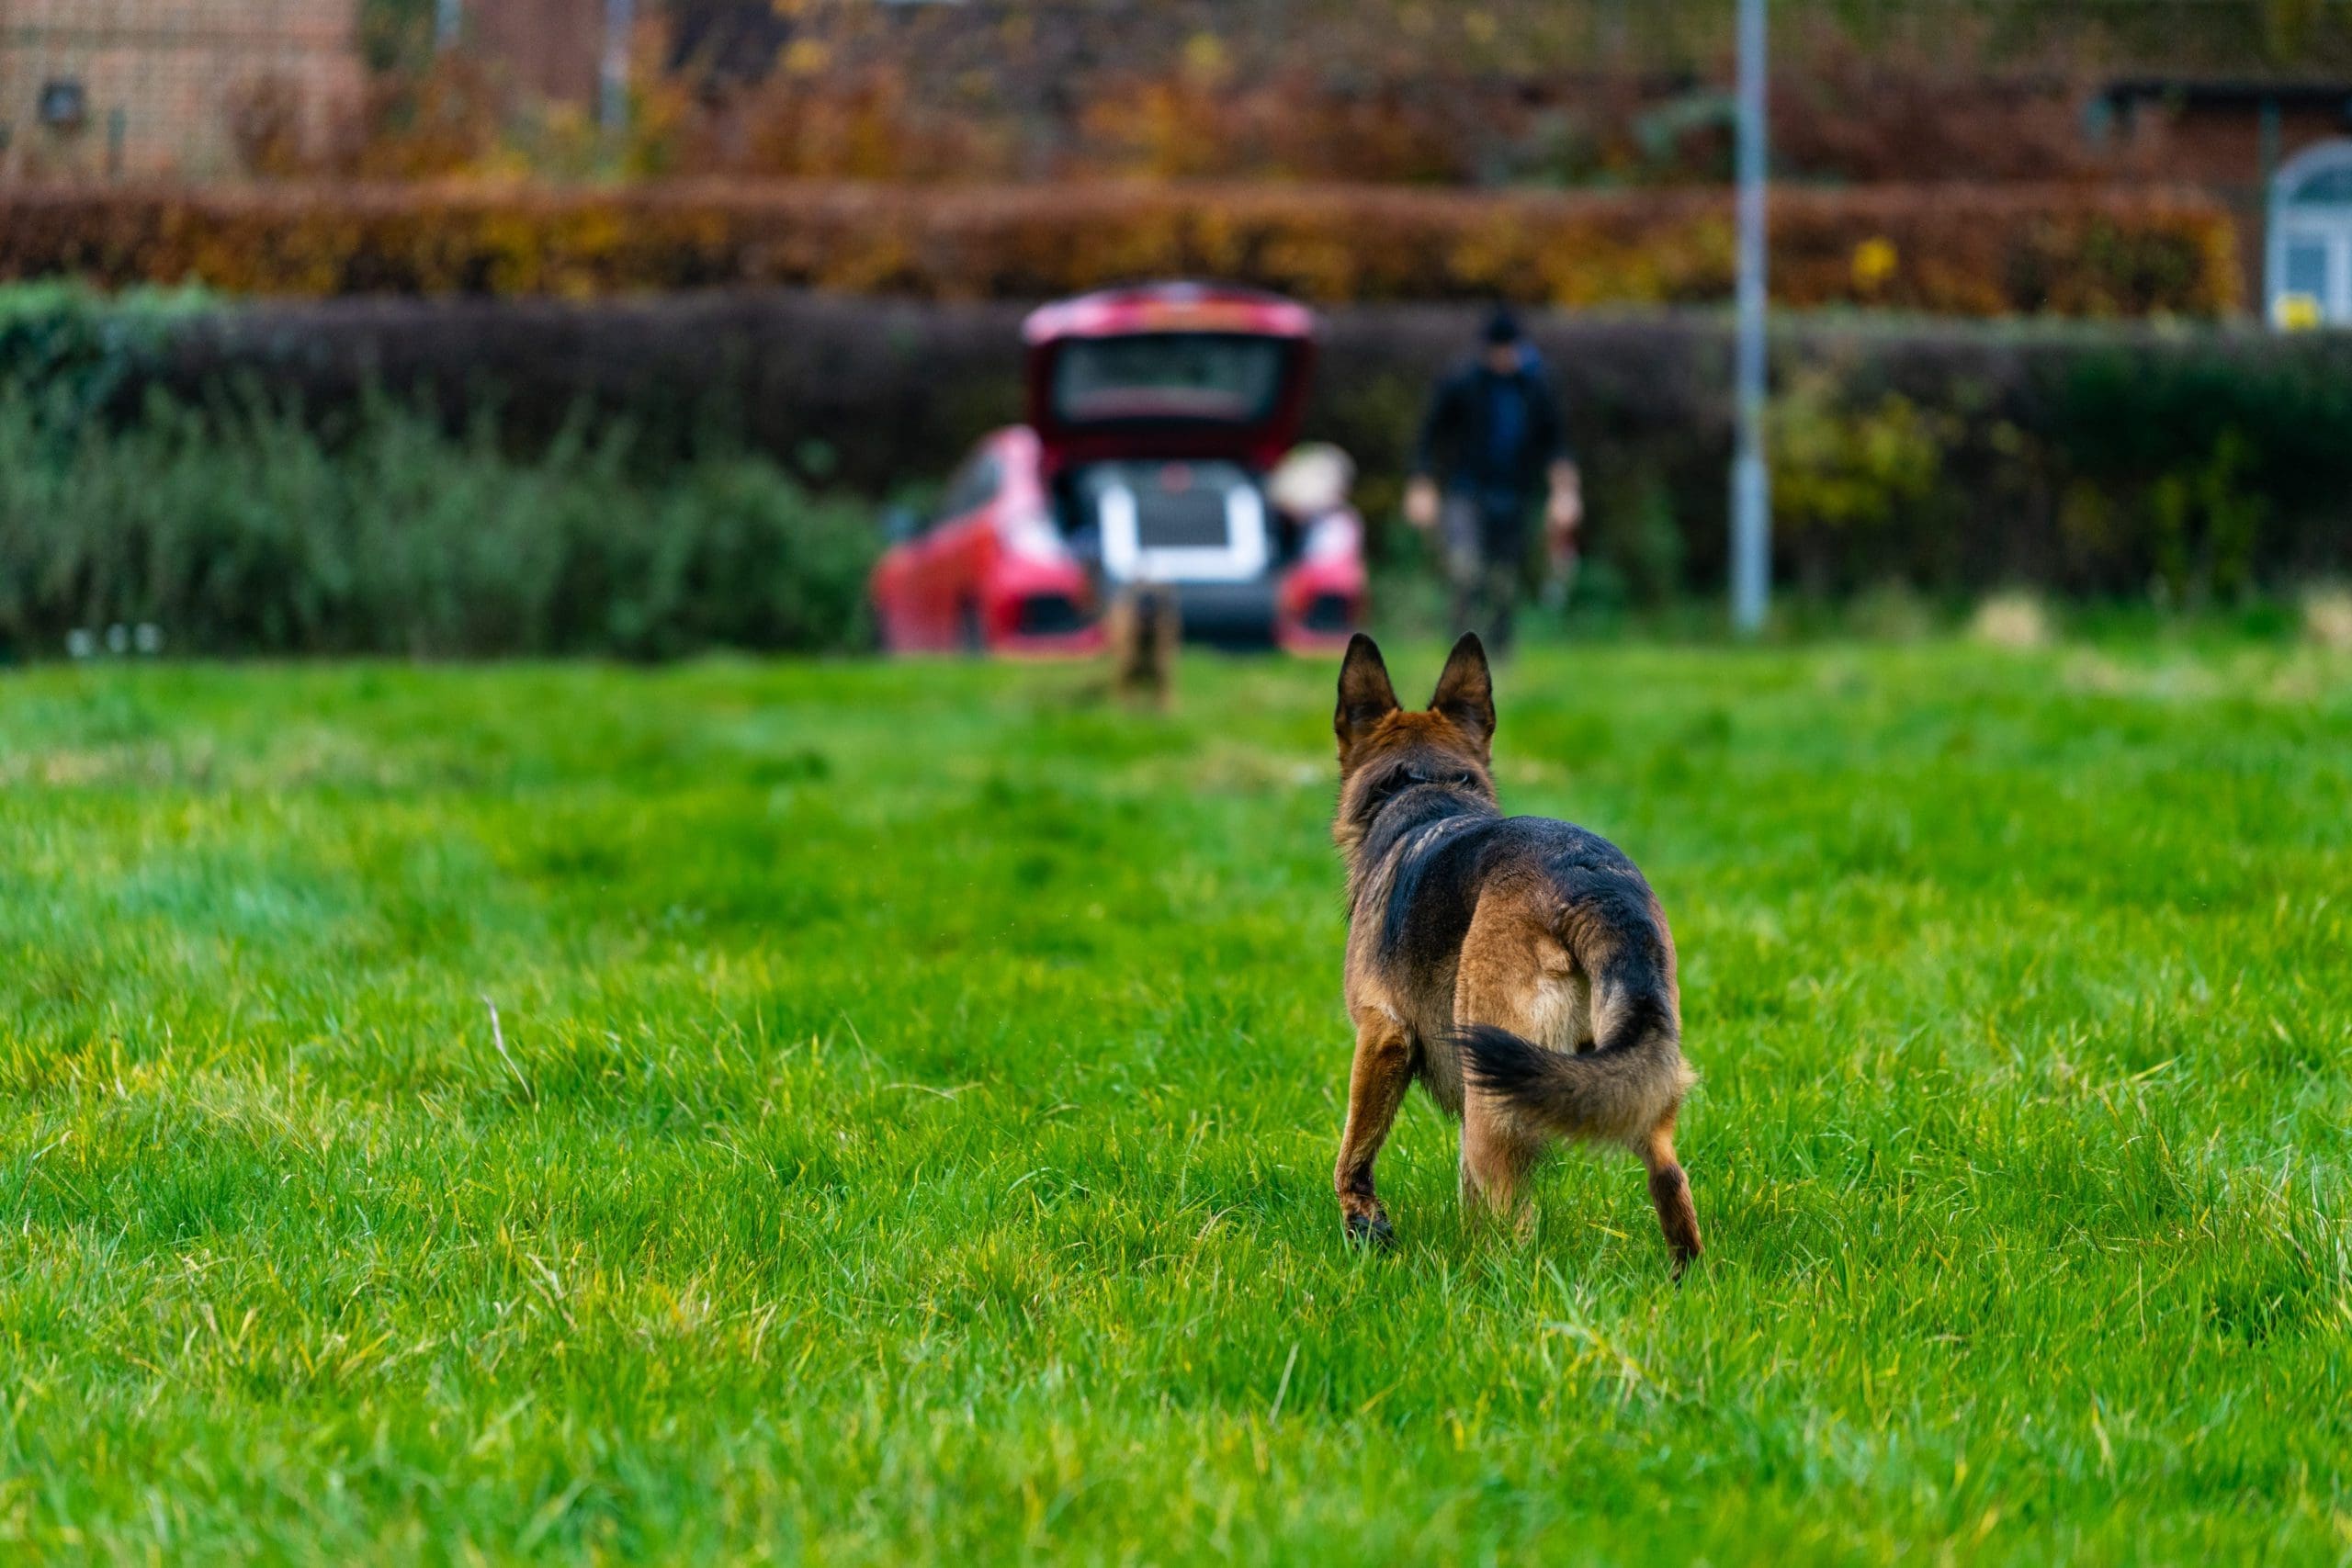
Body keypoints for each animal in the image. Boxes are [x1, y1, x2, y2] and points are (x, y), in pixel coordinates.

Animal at [1336, 629, 1702, 1269]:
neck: (1423, 786)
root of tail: (1587, 883)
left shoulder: (1382, 1035)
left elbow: (1353, 1151)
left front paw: (1365, 1222)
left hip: (1494, 1096)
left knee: (1517, 1234)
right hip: (1633, 1081)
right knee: (1669, 1179)